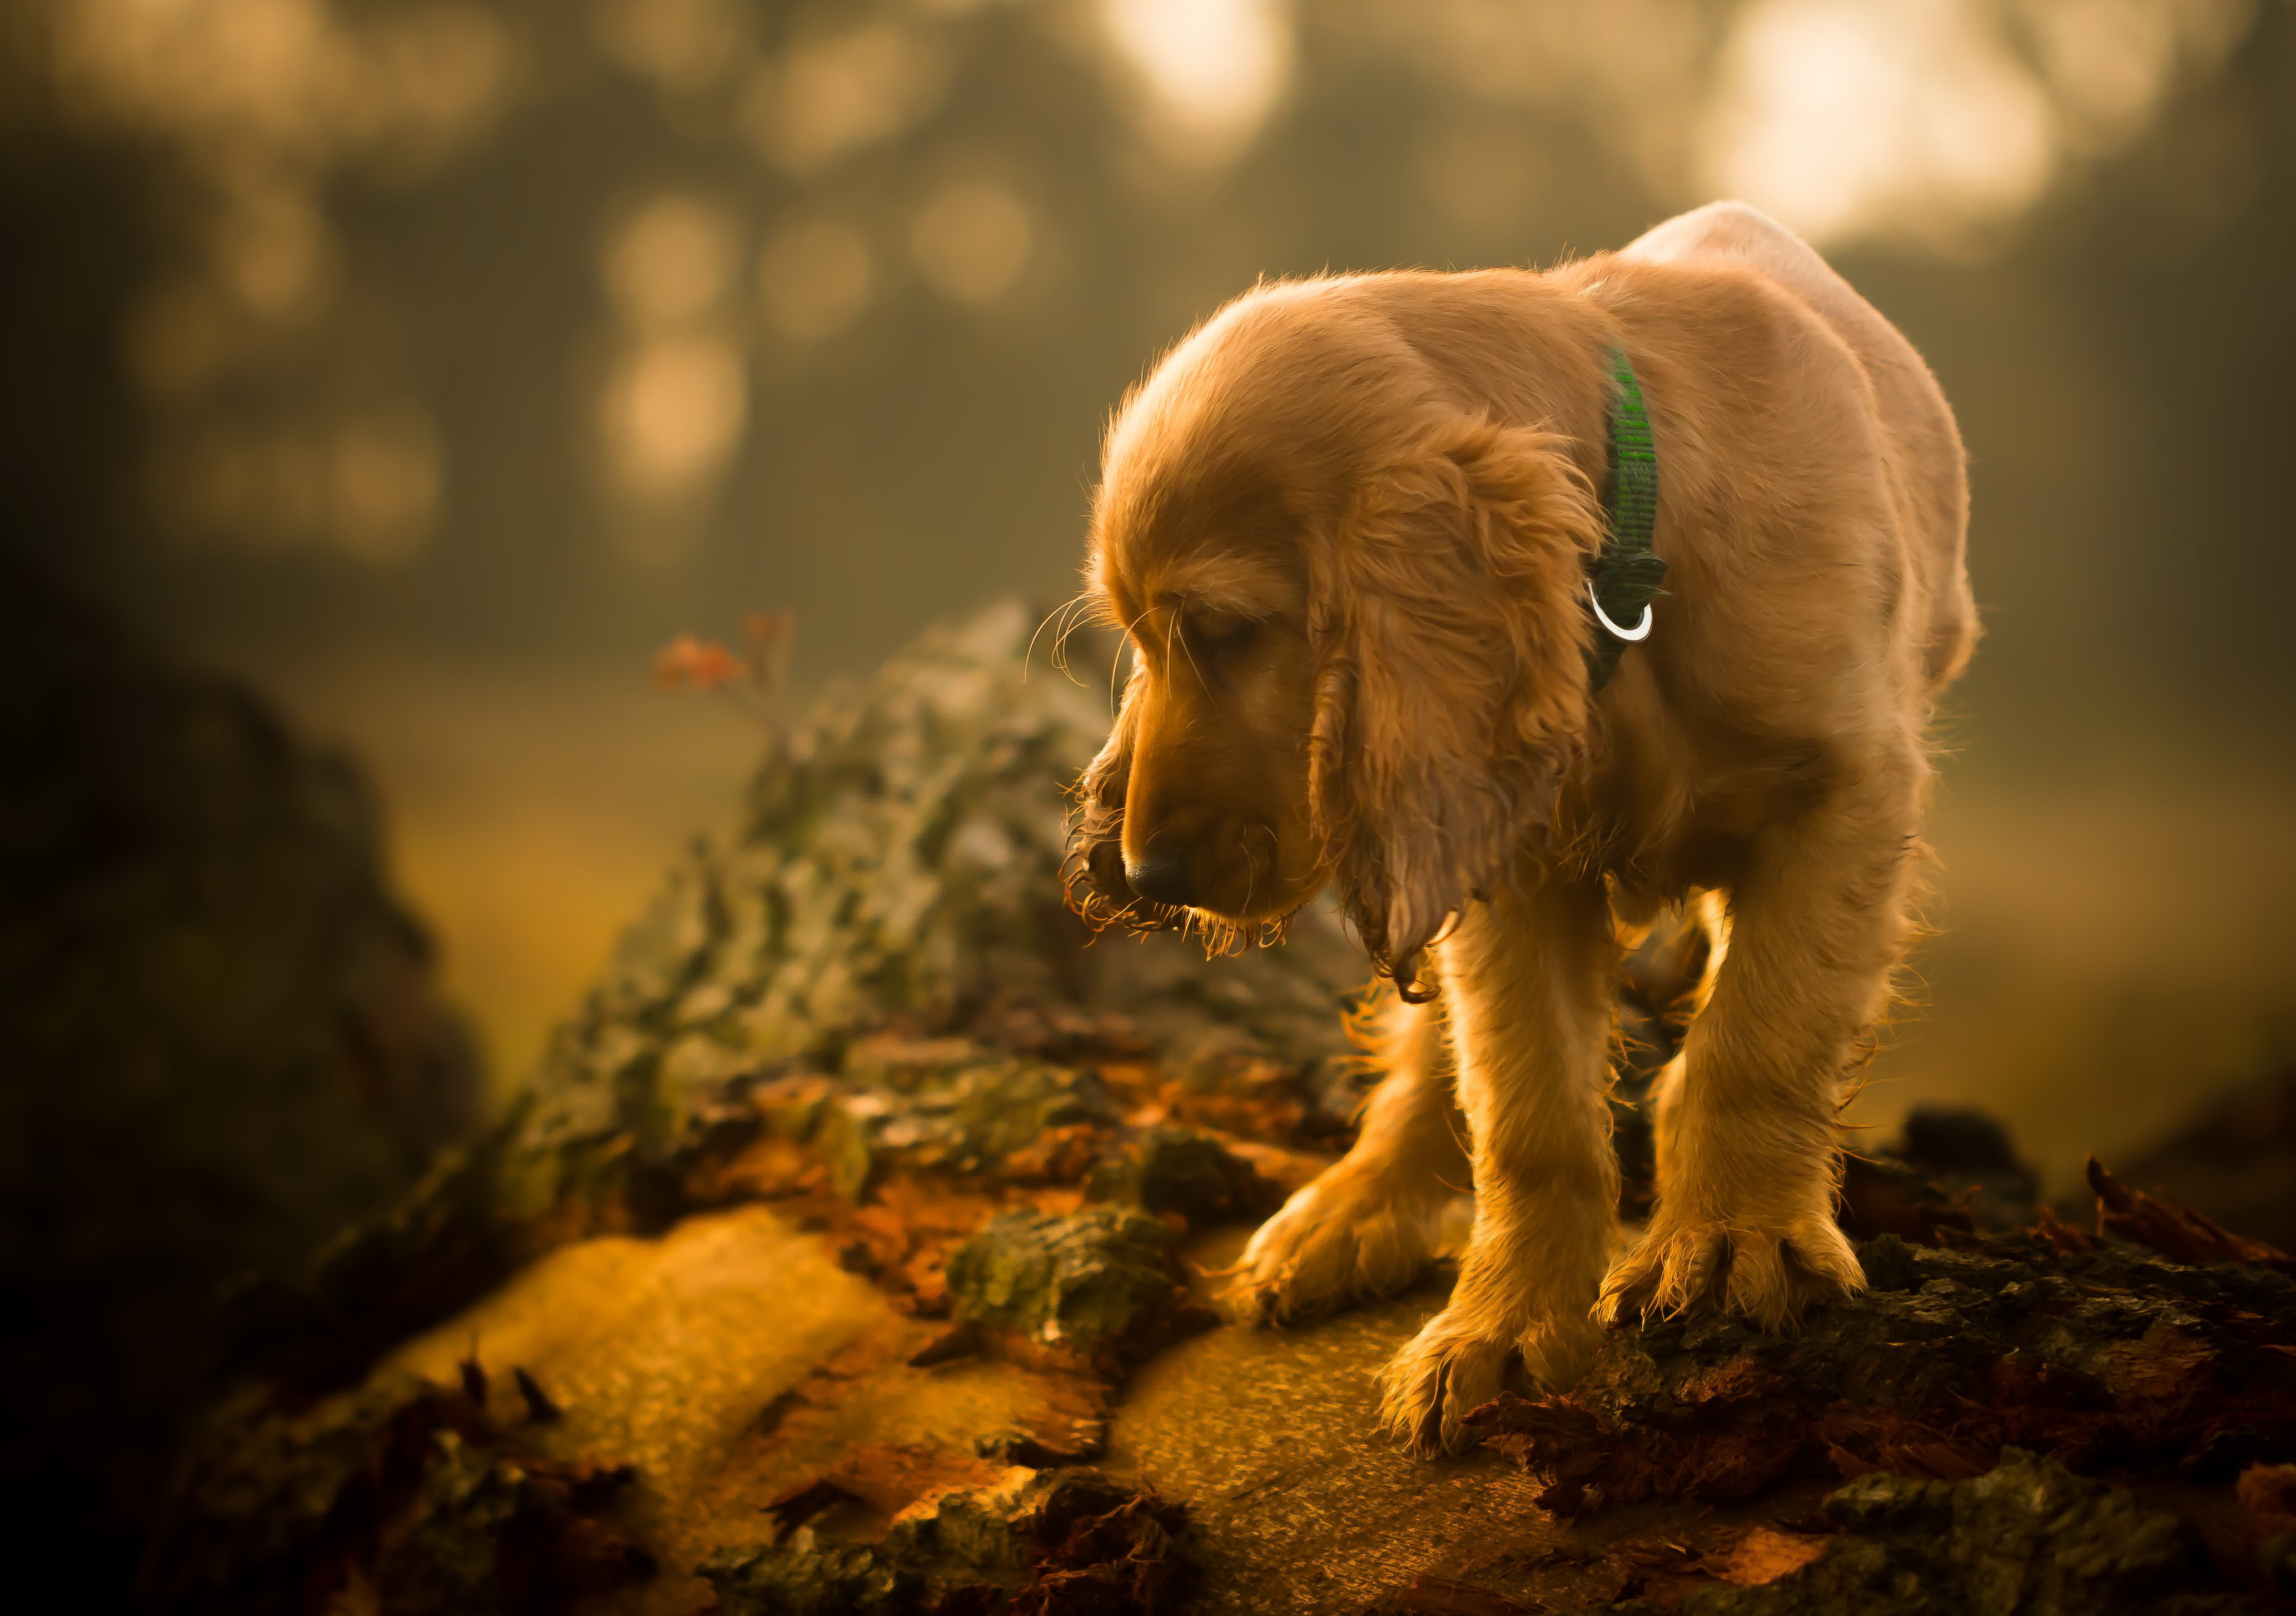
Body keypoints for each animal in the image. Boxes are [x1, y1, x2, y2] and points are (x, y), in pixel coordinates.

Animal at [1056, 198, 1974, 1450]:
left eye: (1226, 631)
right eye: (1141, 639)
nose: (1144, 872)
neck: (1632, 578)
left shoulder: (1844, 794)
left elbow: (1761, 1032)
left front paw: (1733, 1240)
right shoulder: (1505, 853)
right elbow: (1527, 1109)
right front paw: (1504, 1326)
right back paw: (1352, 1208)